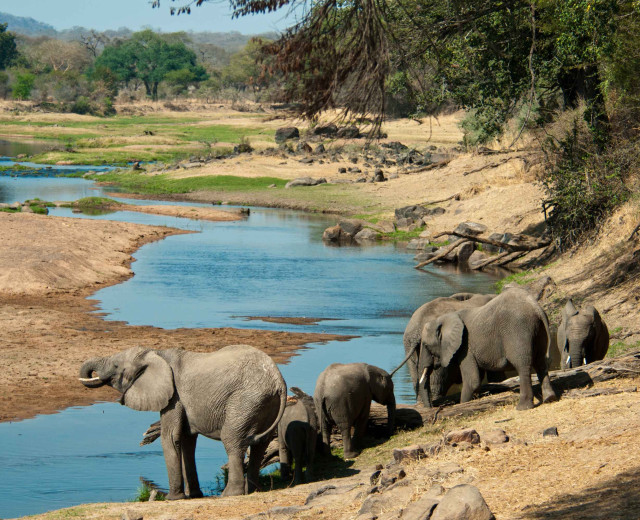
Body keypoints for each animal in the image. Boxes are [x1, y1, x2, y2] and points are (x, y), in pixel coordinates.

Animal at [77, 344, 284, 498]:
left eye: (116, 367)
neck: (156, 354)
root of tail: (279, 381)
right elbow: (186, 440)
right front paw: (194, 496)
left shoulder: (173, 396)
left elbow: (170, 437)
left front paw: (173, 498)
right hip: (263, 404)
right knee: (259, 446)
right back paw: (253, 491)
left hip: (245, 400)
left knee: (232, 440)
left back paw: (230, 494)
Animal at [420, 288, 556, 410]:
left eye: (426, 345)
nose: (432, 407)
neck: (444, 318)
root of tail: (535, 307)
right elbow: (478, 378)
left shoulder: (465, 347)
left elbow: (472, 381)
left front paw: (463, 404)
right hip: (539, 330)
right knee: (541, 362)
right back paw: (550, 399)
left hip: (518, 330)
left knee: (523, 365)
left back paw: (522, 407)